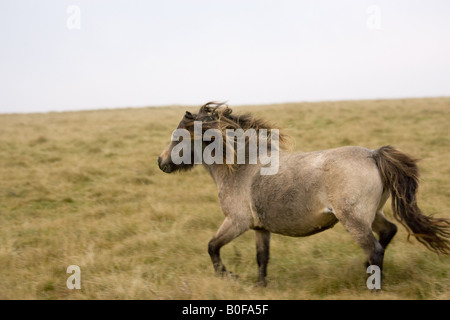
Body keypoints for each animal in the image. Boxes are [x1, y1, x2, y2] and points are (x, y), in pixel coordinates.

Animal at [157, 101, 450, 286]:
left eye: (178, 137)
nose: (161, 163)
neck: (241, 166)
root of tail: (373, 154)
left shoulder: (236, 222)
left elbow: (212, 247)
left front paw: (229, 277)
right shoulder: (260, 228)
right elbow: (262, 258)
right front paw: (260, 286)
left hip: (353, 220)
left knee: (375, 249)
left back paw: (372, 284)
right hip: (371, 214)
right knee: (388, 232)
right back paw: (365, 271)